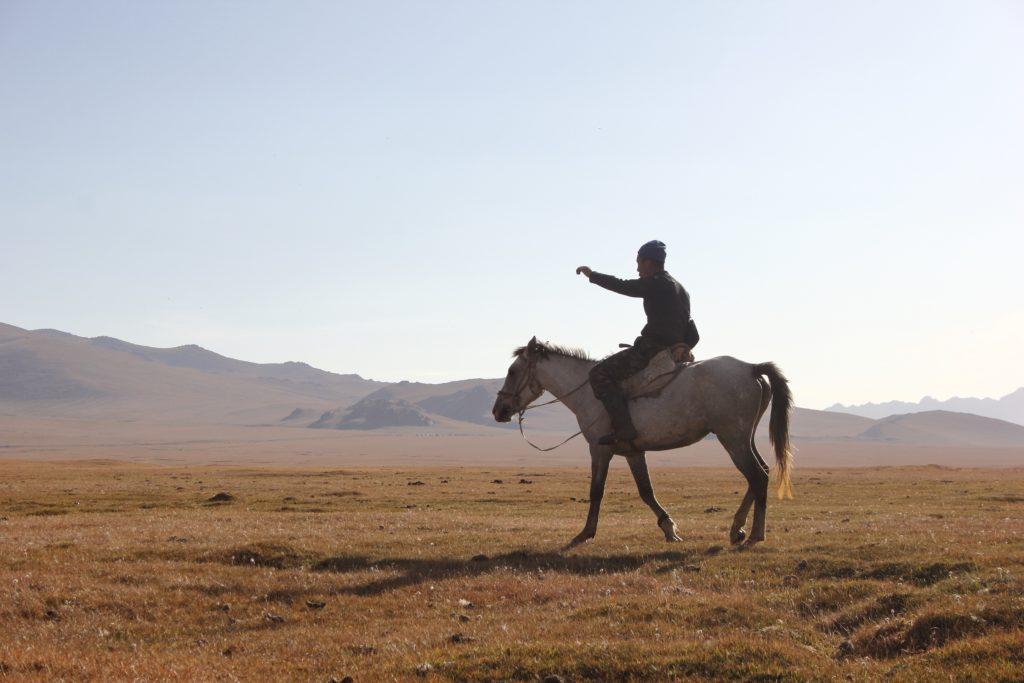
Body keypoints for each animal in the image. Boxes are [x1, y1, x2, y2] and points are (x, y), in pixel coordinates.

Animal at [491, 335, 794, 548]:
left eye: (512, 371)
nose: (499, 410)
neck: (588, 393)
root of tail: (751, 368)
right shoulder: (633, 452)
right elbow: (646, 491)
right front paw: (670, 529)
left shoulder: (599, 450)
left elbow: (596, 491)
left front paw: (585, 533)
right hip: (743, 437)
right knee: (762, 472)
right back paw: (737, 529)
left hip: (732, 438)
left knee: (756, 476)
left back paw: (754, 534)